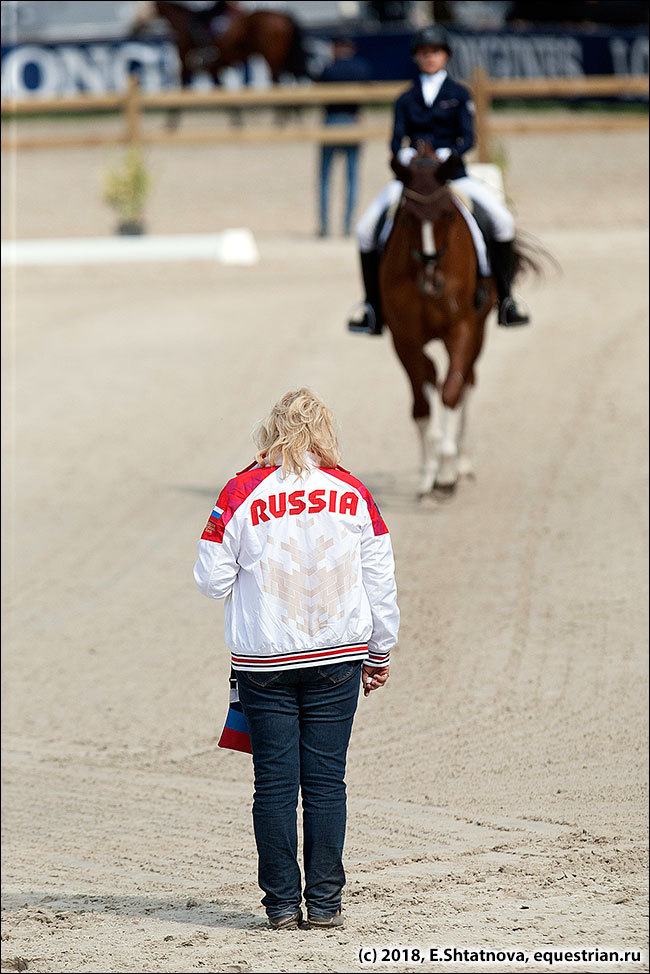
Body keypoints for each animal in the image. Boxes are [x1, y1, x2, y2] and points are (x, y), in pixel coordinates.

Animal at [378, 147, 536, 496]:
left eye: (447, 214)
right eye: (407, 216)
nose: (432, 282)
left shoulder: (461, 329)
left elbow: (451, 391)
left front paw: (447, 474)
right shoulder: (404, 338)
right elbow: (422, 404)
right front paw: (428, 474)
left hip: (478, 331)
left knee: (466, 382)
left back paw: (461, 462)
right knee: (434, 378)